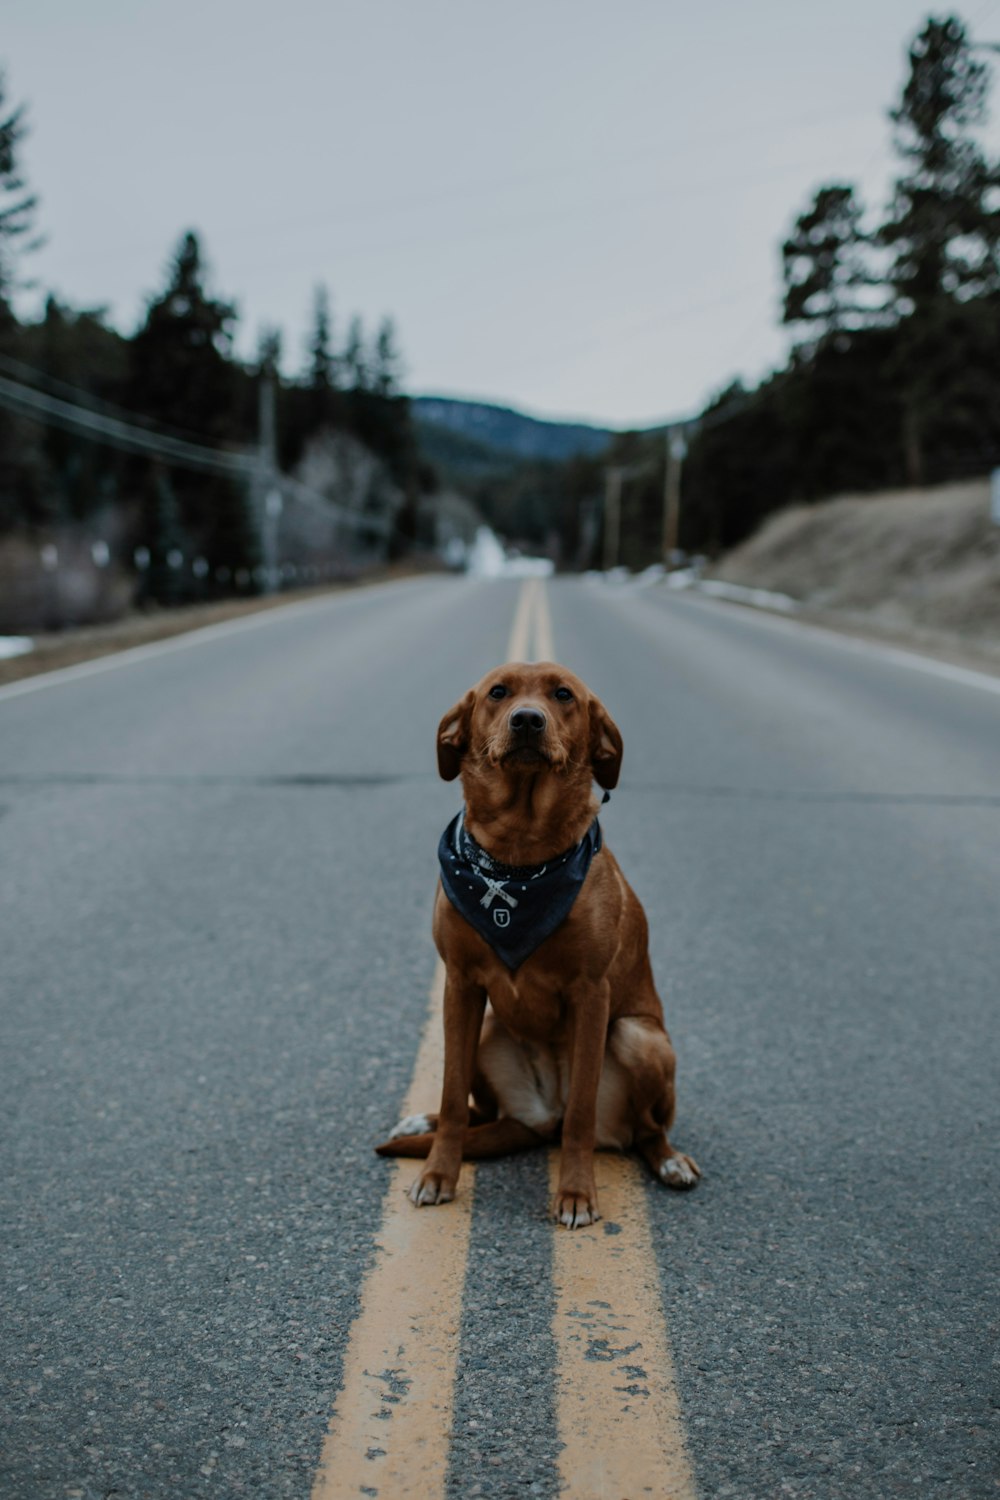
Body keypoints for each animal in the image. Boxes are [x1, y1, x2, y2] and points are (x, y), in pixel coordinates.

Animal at [377, 663, 704, 1224]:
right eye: (498, 693)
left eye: (564, 695)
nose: (527, 720)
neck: (519, 852)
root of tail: (539, 1116)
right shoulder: (460, 985)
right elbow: (450, 1095)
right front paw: (438, 1176)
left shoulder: (592, 994)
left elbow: (582, 1111)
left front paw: (575, 1194)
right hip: (488, 1029)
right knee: (480, 1110)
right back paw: (422, 1122)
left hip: (639, 1037)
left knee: (643, 1128)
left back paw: (669, 1161)